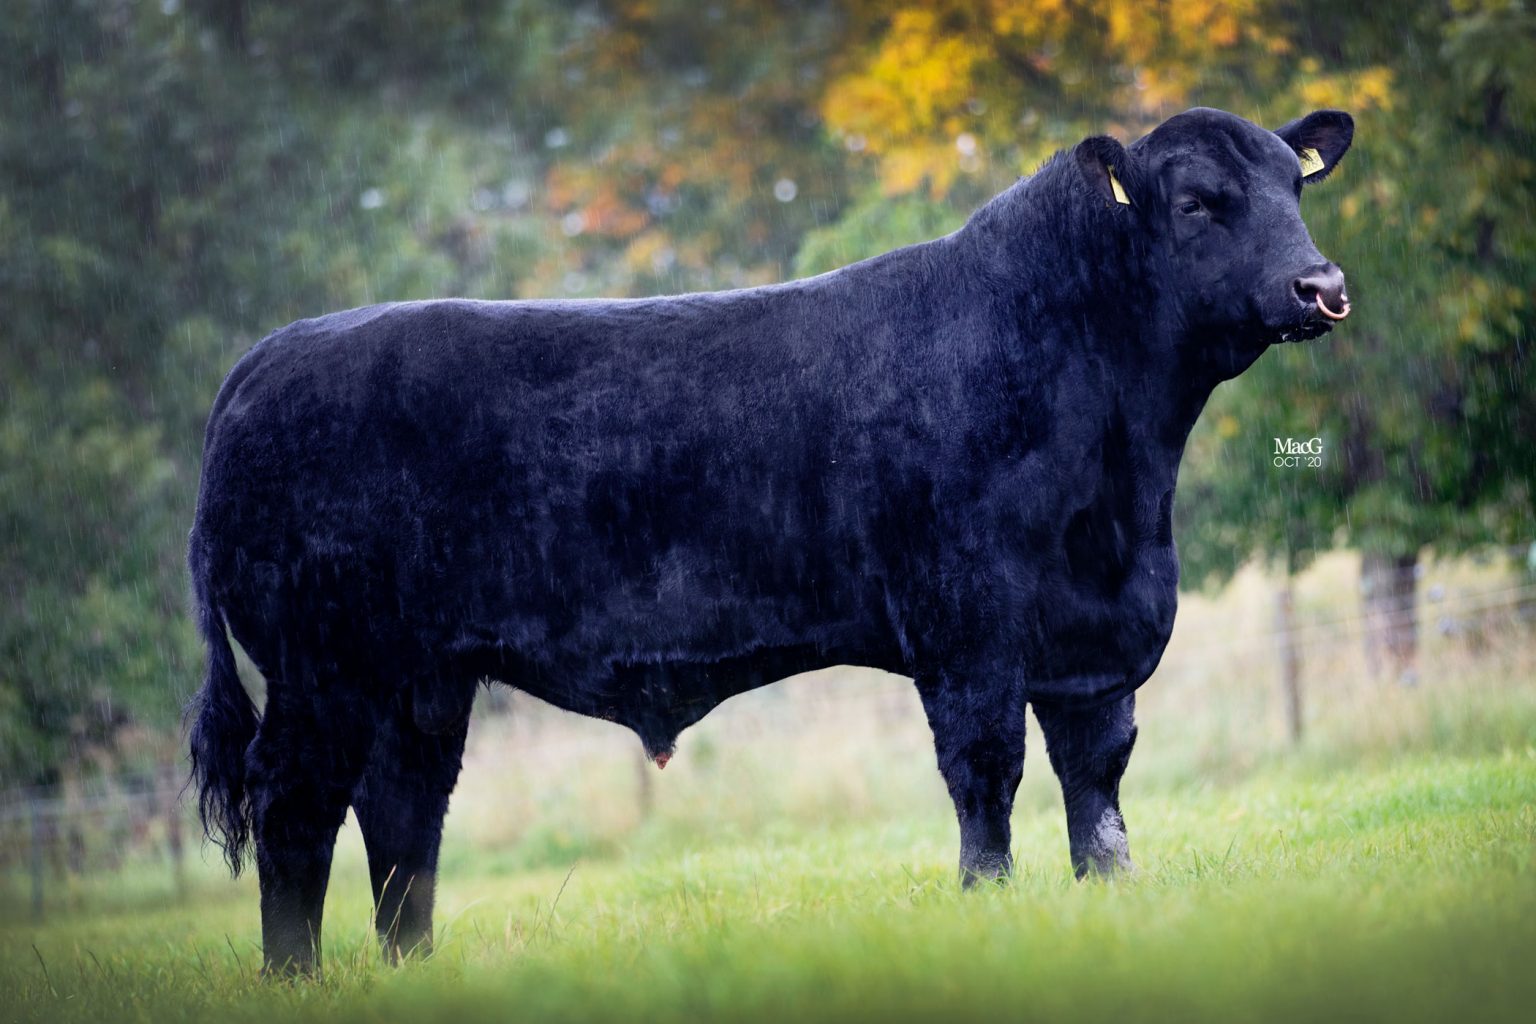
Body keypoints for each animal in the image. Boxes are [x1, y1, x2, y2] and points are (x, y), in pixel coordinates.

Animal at [188, 106, 1354, 974]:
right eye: (1198, 202)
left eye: (1294, 190)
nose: (1323, 286)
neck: (1122, 485)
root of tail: (270, 356)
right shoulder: (965, 622)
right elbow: (986, 769)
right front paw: (987, 905)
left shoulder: (1095, 635)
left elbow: (1097, 780)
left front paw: (1110, 899)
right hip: (321, 667)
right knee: (295, 805)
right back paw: (296, 979)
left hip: (420, 676)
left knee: (403, 810)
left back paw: (412, 968)